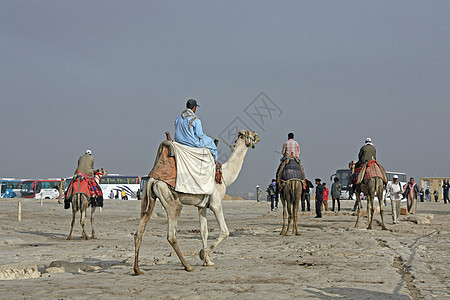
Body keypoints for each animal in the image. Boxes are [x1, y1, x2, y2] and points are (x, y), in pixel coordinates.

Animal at [133, 129, 260, 274]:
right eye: (250, 133)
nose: (258, 137)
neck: (224, 176)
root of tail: (154, 178)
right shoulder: (216, 204)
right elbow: (225, 231)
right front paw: (202, 254)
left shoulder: (202, 206)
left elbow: (204, 231)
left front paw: (207, 261)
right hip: (171, 200)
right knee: (171, 235)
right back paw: (188, 266)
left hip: (150, 197)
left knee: (139, 230)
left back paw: (137, 269)